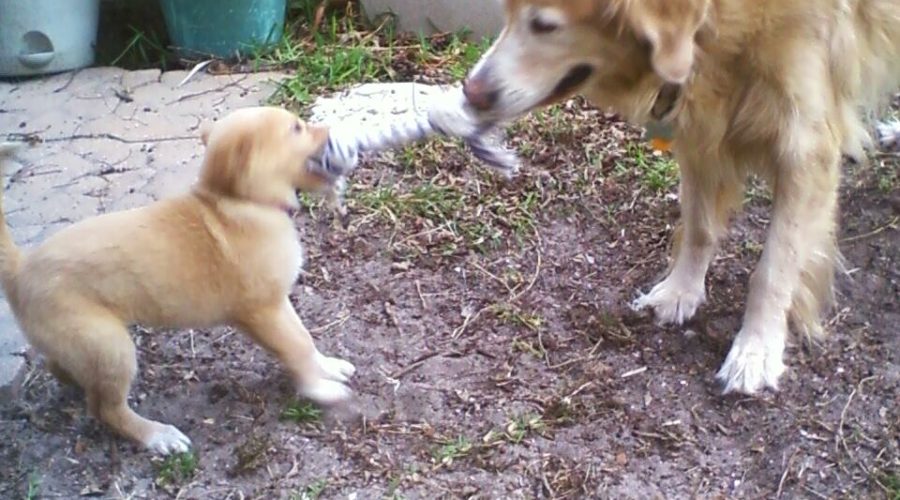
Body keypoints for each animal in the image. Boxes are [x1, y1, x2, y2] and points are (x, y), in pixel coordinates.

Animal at [0, 107, 358, 456]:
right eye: (296, 128)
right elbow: (296, 347)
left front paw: (328, 366)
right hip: (110, 346)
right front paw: (319, 389)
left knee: (67, 371)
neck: (238, 202)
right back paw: (158, 436)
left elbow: (305, 338)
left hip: (84, 346)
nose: (332, 131)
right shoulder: (263, 312)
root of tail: (21, 270)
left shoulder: (279, 303)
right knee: (107, 409)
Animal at [464, 0, 900, 394]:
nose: (470, 93)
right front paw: (681, 291)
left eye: (544, 25)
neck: (727, 23)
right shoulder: (703, 131)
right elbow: (700, 227)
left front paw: (756, 349)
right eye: (506, 12)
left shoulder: (805, 147)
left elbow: (775, 266)